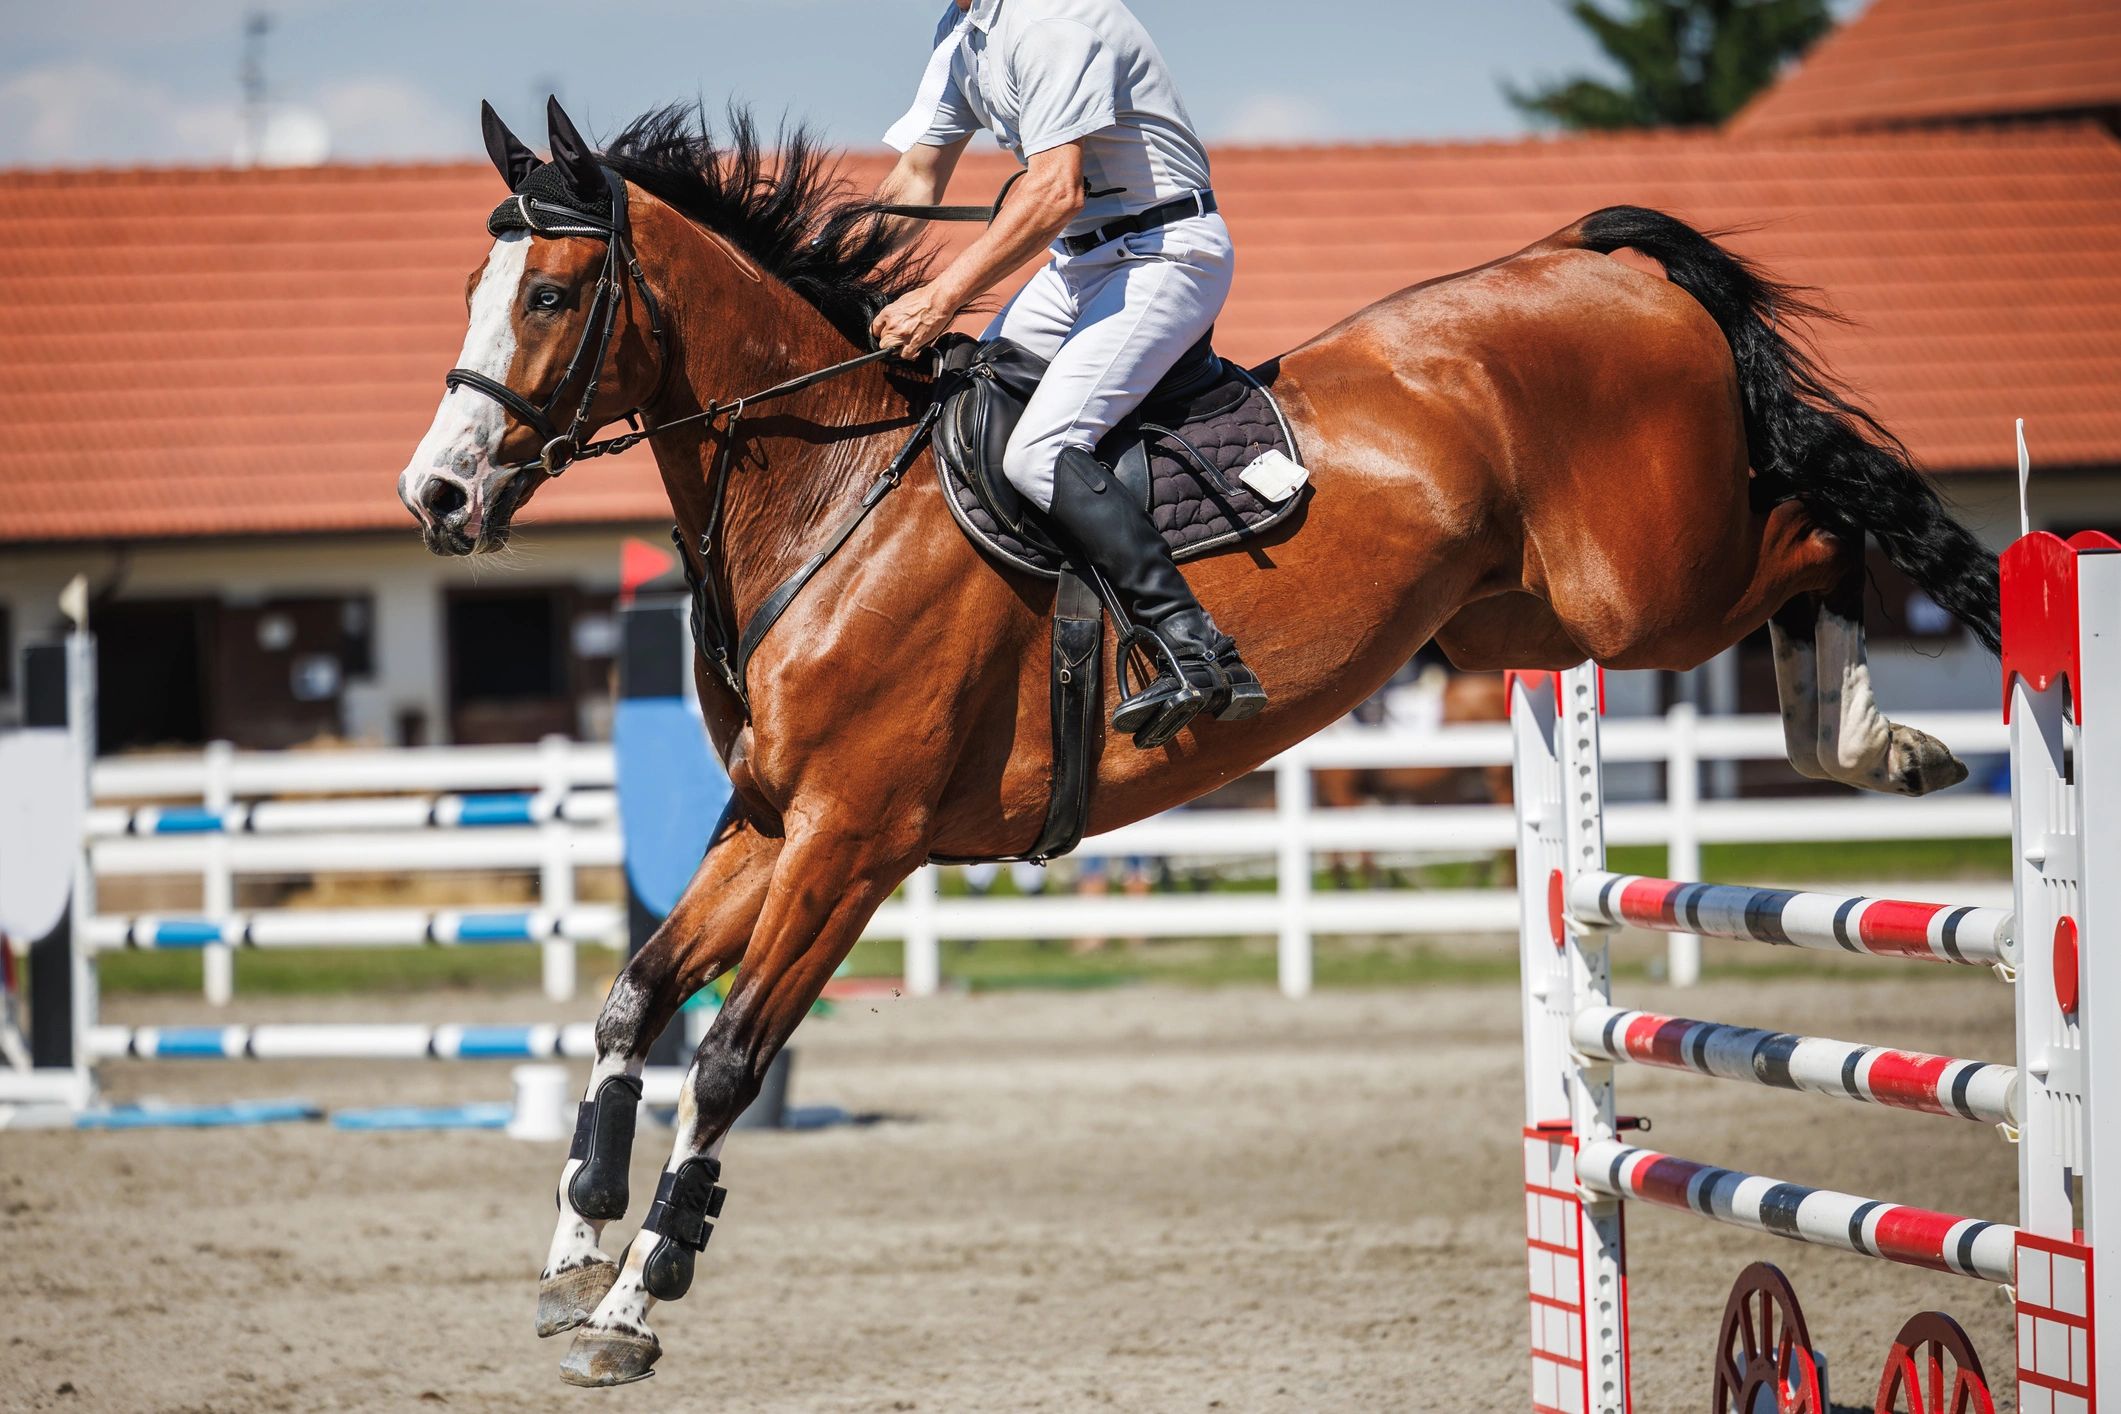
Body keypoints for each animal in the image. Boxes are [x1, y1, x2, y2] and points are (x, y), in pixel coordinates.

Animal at [396, 99, 2000, 1386]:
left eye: (550, 294)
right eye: (469, 287)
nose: (437, 497)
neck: (829, 496)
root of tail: (1593, 257)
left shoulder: (854, 842)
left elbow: (728, 1057)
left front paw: (633, 1302)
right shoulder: (770, 823)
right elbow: (631, 1000)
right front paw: (570, 1250)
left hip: (1652, 584)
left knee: (1828, 516)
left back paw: (1888, 724)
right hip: (1530, 614)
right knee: (1805, 530)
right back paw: (1871, 734)